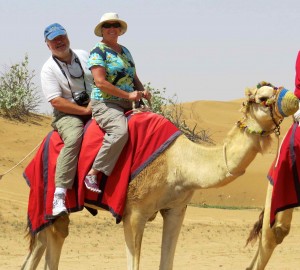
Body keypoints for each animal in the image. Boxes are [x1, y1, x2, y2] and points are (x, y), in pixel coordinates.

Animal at [20, 83, 298, 270]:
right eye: (263, 98)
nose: (294, 100)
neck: (180, 162)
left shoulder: (176, 209)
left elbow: (167, 262)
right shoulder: (134, 212)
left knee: (42, 242)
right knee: (56, 236)